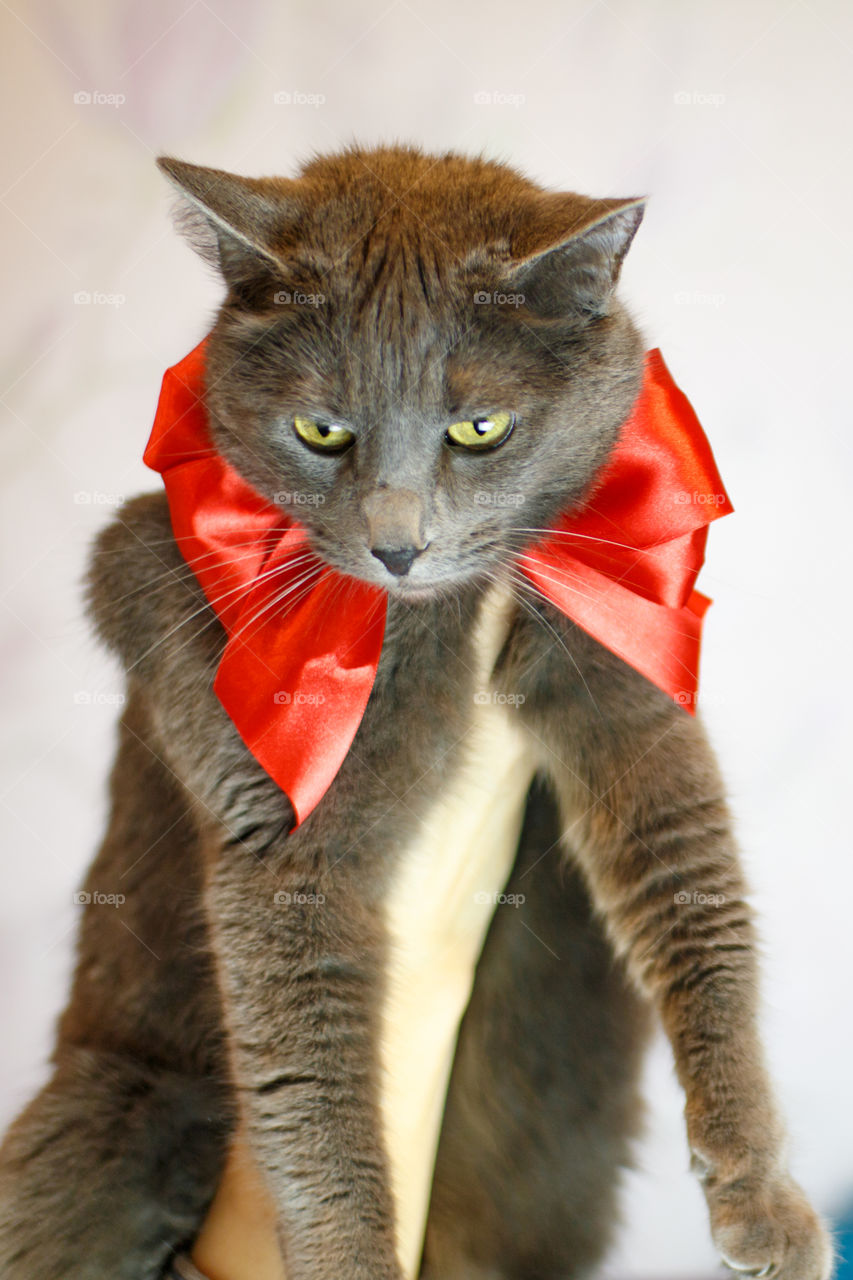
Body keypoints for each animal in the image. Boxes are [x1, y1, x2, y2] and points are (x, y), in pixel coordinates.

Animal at [0, 142, 829, 1280]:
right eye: (320, 429)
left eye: (480, 427)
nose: (398, 544)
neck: (437, 620)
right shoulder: (150, 552)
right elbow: (308, 1085)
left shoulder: (624, 647)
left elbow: (695, 893)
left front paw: (762, 1192)